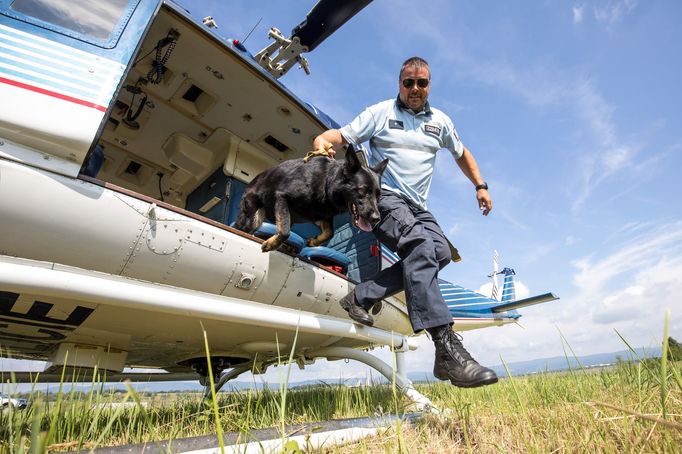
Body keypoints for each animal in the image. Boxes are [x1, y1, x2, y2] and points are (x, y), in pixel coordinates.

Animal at [232, 145, 386, 252]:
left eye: (378, 196)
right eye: (362, 190)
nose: (376, 219)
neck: (326, 182)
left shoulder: (321, 215)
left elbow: (330, 233)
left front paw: (314, 242)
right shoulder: (282, 197)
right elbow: (285, 232)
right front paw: (271, 244)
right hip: (251, 216)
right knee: (244, 228)